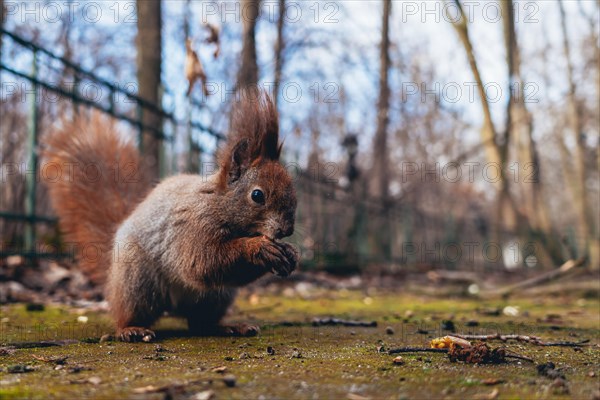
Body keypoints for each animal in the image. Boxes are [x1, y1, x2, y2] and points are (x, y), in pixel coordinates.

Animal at [43, 94, 300, 340]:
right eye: (257, 195)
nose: (287, 230)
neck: (218, 203)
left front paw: (291, 253)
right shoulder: (192, 225)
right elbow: (202, 262)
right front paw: (259, 248)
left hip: (216, 297)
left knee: (200, 324)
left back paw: (228, 327)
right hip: (136, 281)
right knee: (130, 313)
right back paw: (132, 330)